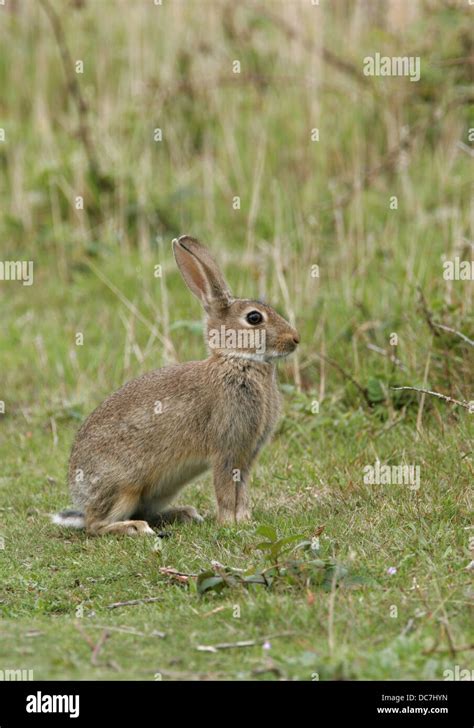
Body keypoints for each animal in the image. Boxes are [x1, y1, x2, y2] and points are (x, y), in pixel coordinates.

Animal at [52, 237, 300, 536]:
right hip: (123, 487)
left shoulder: (247, 455)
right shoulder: (226, 449)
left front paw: (245, 520)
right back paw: (134, 527)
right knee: (96, 526)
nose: (295, 339)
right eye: (254, 318)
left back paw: (184, 514)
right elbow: (226, 491)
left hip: (161, 490)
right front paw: (229, 523)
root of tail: (80, 496)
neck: (238, 361)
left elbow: (242, 492)